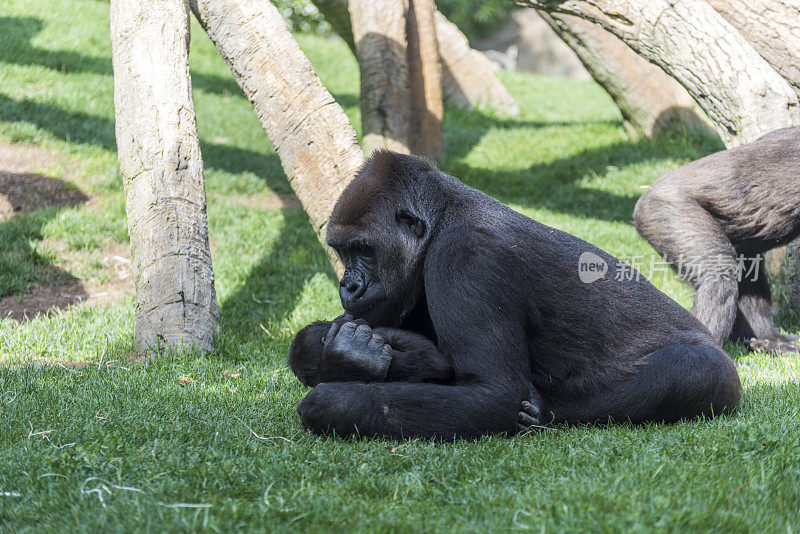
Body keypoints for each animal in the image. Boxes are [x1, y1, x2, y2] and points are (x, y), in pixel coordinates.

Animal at [290, 150, 744, 440]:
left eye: (364, 250)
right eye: (343, 251)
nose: (348, 285)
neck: (441, 220)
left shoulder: (468, 257)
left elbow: (493, 394)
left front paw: (334, 401)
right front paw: (341, 356)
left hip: (713, 361)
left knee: (692, 369)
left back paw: (544, 410)